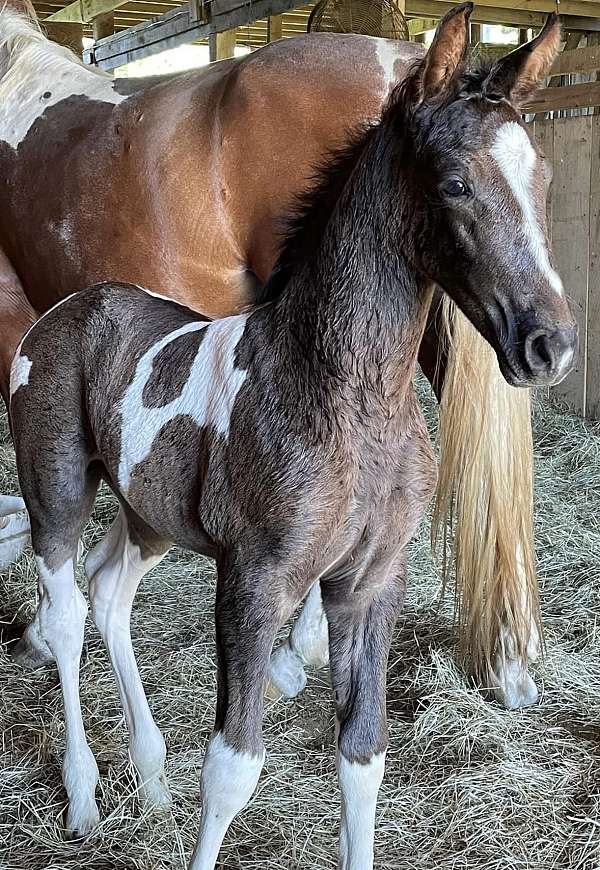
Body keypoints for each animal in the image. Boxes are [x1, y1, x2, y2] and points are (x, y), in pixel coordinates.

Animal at [9, 7, 575, 865]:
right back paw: (82, 797)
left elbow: (364, 757)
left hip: (149, 516)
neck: (343, 394)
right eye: (454, 183)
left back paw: (149, 777)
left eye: (541, 179)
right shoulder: (254, 580)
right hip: (59, 494)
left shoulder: (370, 585)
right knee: (67, 611)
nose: (549, 346)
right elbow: (233, 768)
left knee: (109, 593)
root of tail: (68, 310)